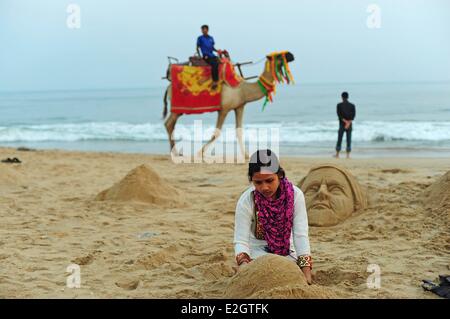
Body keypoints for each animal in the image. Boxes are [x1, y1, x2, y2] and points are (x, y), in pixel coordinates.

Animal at [163, 51, 296, 160]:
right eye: (278, 55)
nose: (291, 55)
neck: (243, 89)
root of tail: (168, 87)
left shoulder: (240, 106)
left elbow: (239, 131)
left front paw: (246, 155)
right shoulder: (224, 109)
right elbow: (217, 132)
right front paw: (200, 153)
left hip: (178, 110)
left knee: (171, 124)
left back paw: (175, 152)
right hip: (177, 108)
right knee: (169, 124)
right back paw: (175, 153)